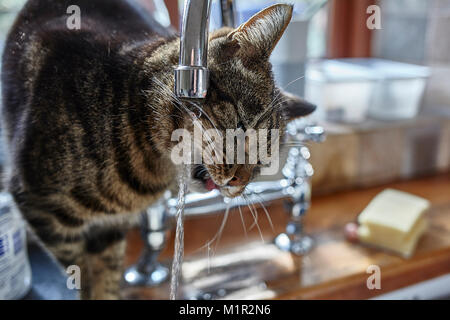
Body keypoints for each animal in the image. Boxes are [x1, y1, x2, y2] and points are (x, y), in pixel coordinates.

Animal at [1, 0, 314, 300]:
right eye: (240, 129)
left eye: (263, 163)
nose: (238, 182)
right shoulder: (40, 208)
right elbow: (82, 272)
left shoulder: (110, 231)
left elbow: (105, 279)